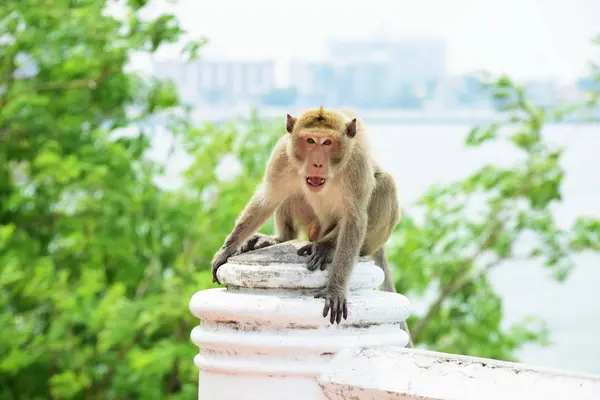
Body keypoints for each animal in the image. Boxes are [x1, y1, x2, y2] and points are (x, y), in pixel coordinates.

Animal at [211, 106, 412, 346]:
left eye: (327, 142)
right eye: (310, 140)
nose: (317, 163)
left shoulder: (358, 164)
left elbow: (354, 218)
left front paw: (335, 288)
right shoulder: (282, 155)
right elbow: (267, 198)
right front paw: (226, 250)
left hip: (370, 237)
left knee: (385, 184)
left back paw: (327, 246)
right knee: (289, 191)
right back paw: (281, 238)